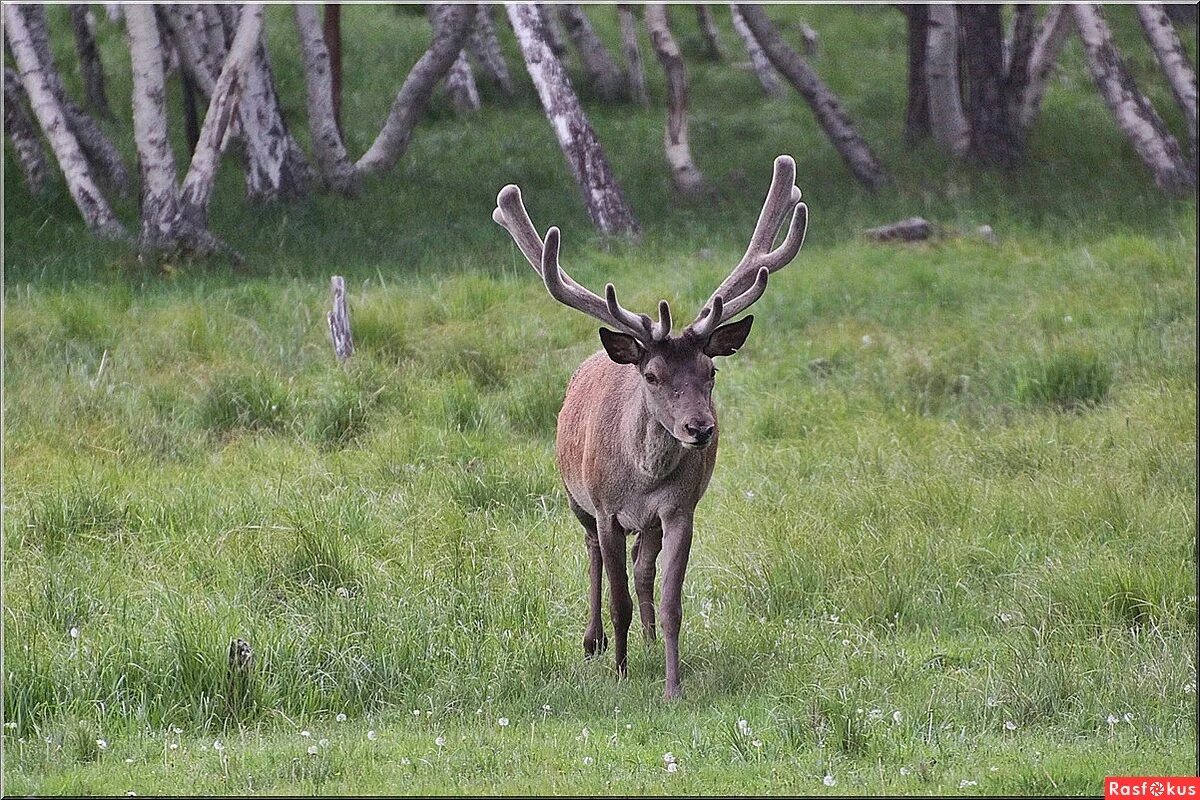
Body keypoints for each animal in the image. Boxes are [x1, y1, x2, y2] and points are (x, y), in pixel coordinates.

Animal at [492, 153, 811, 695]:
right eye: (653, 375)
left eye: (710, 371)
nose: (700, 429)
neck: (641, 478)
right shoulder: (605, 510)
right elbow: (616, 594)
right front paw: (620, 674)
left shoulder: (680, 509)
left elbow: (669, 602)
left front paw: (672, 685)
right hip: (574, 496)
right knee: (593, 557)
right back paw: (595, 642)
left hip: (650, 521)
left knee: (643, 567)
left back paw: (643, 641)